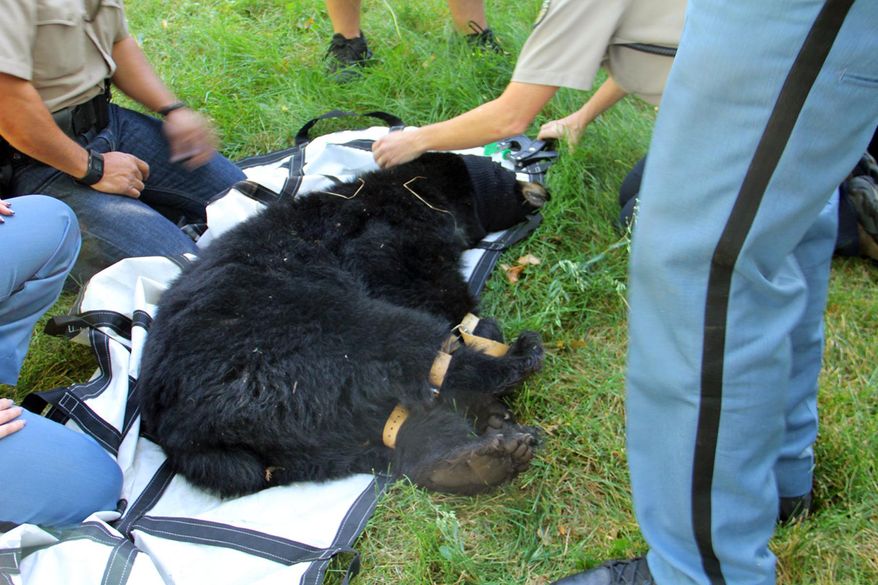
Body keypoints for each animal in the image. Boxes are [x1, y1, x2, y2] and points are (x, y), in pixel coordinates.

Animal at [138, 152, 547, 498]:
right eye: (506, 171)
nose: (544, 190)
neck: (412, 186)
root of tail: (187, 435)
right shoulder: (384, 229)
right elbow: (409, 276)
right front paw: (482, 330)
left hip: (303, 445)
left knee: (389, 433)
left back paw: (476, 459)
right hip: (293, 331)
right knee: (398, 345)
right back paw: (512, 364)